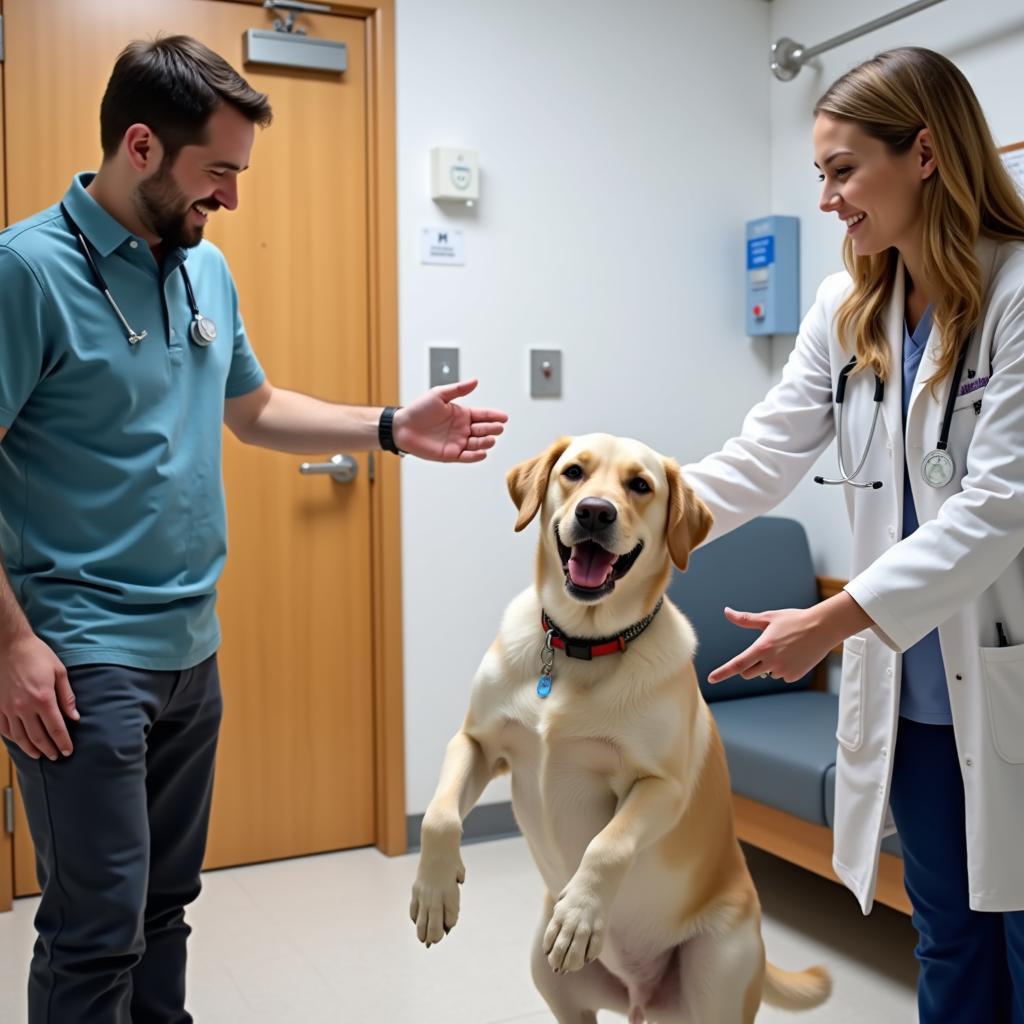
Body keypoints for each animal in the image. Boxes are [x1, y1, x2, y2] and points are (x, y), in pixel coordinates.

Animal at [409, 436, 831, 1019]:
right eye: (573, 472)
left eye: (640, 485)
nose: (594, 512)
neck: (578, 646)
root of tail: (640, 994)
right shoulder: (476, 743)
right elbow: (439, 817)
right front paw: (433, 891)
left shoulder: (662, 786)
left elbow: (607, 845)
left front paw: (581, 916)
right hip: (555, 985)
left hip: (718, 971)